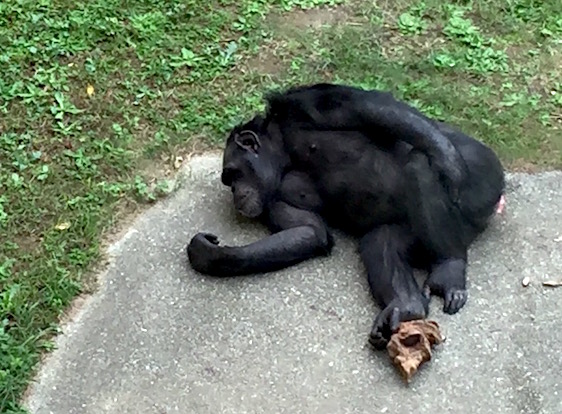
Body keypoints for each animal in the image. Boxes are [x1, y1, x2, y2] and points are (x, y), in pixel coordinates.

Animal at [185, 82, 504, 348]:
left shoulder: (302, 102)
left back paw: (449, 266)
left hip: (485, 183)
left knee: (421, 162)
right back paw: (406, 306)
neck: (284, 156)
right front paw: (208, 254)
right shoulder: (273, 197)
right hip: (410, 230)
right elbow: (309, 232)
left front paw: (451, 166)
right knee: (380, 241)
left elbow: (371, 109)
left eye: (233, 174)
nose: (235, 192)